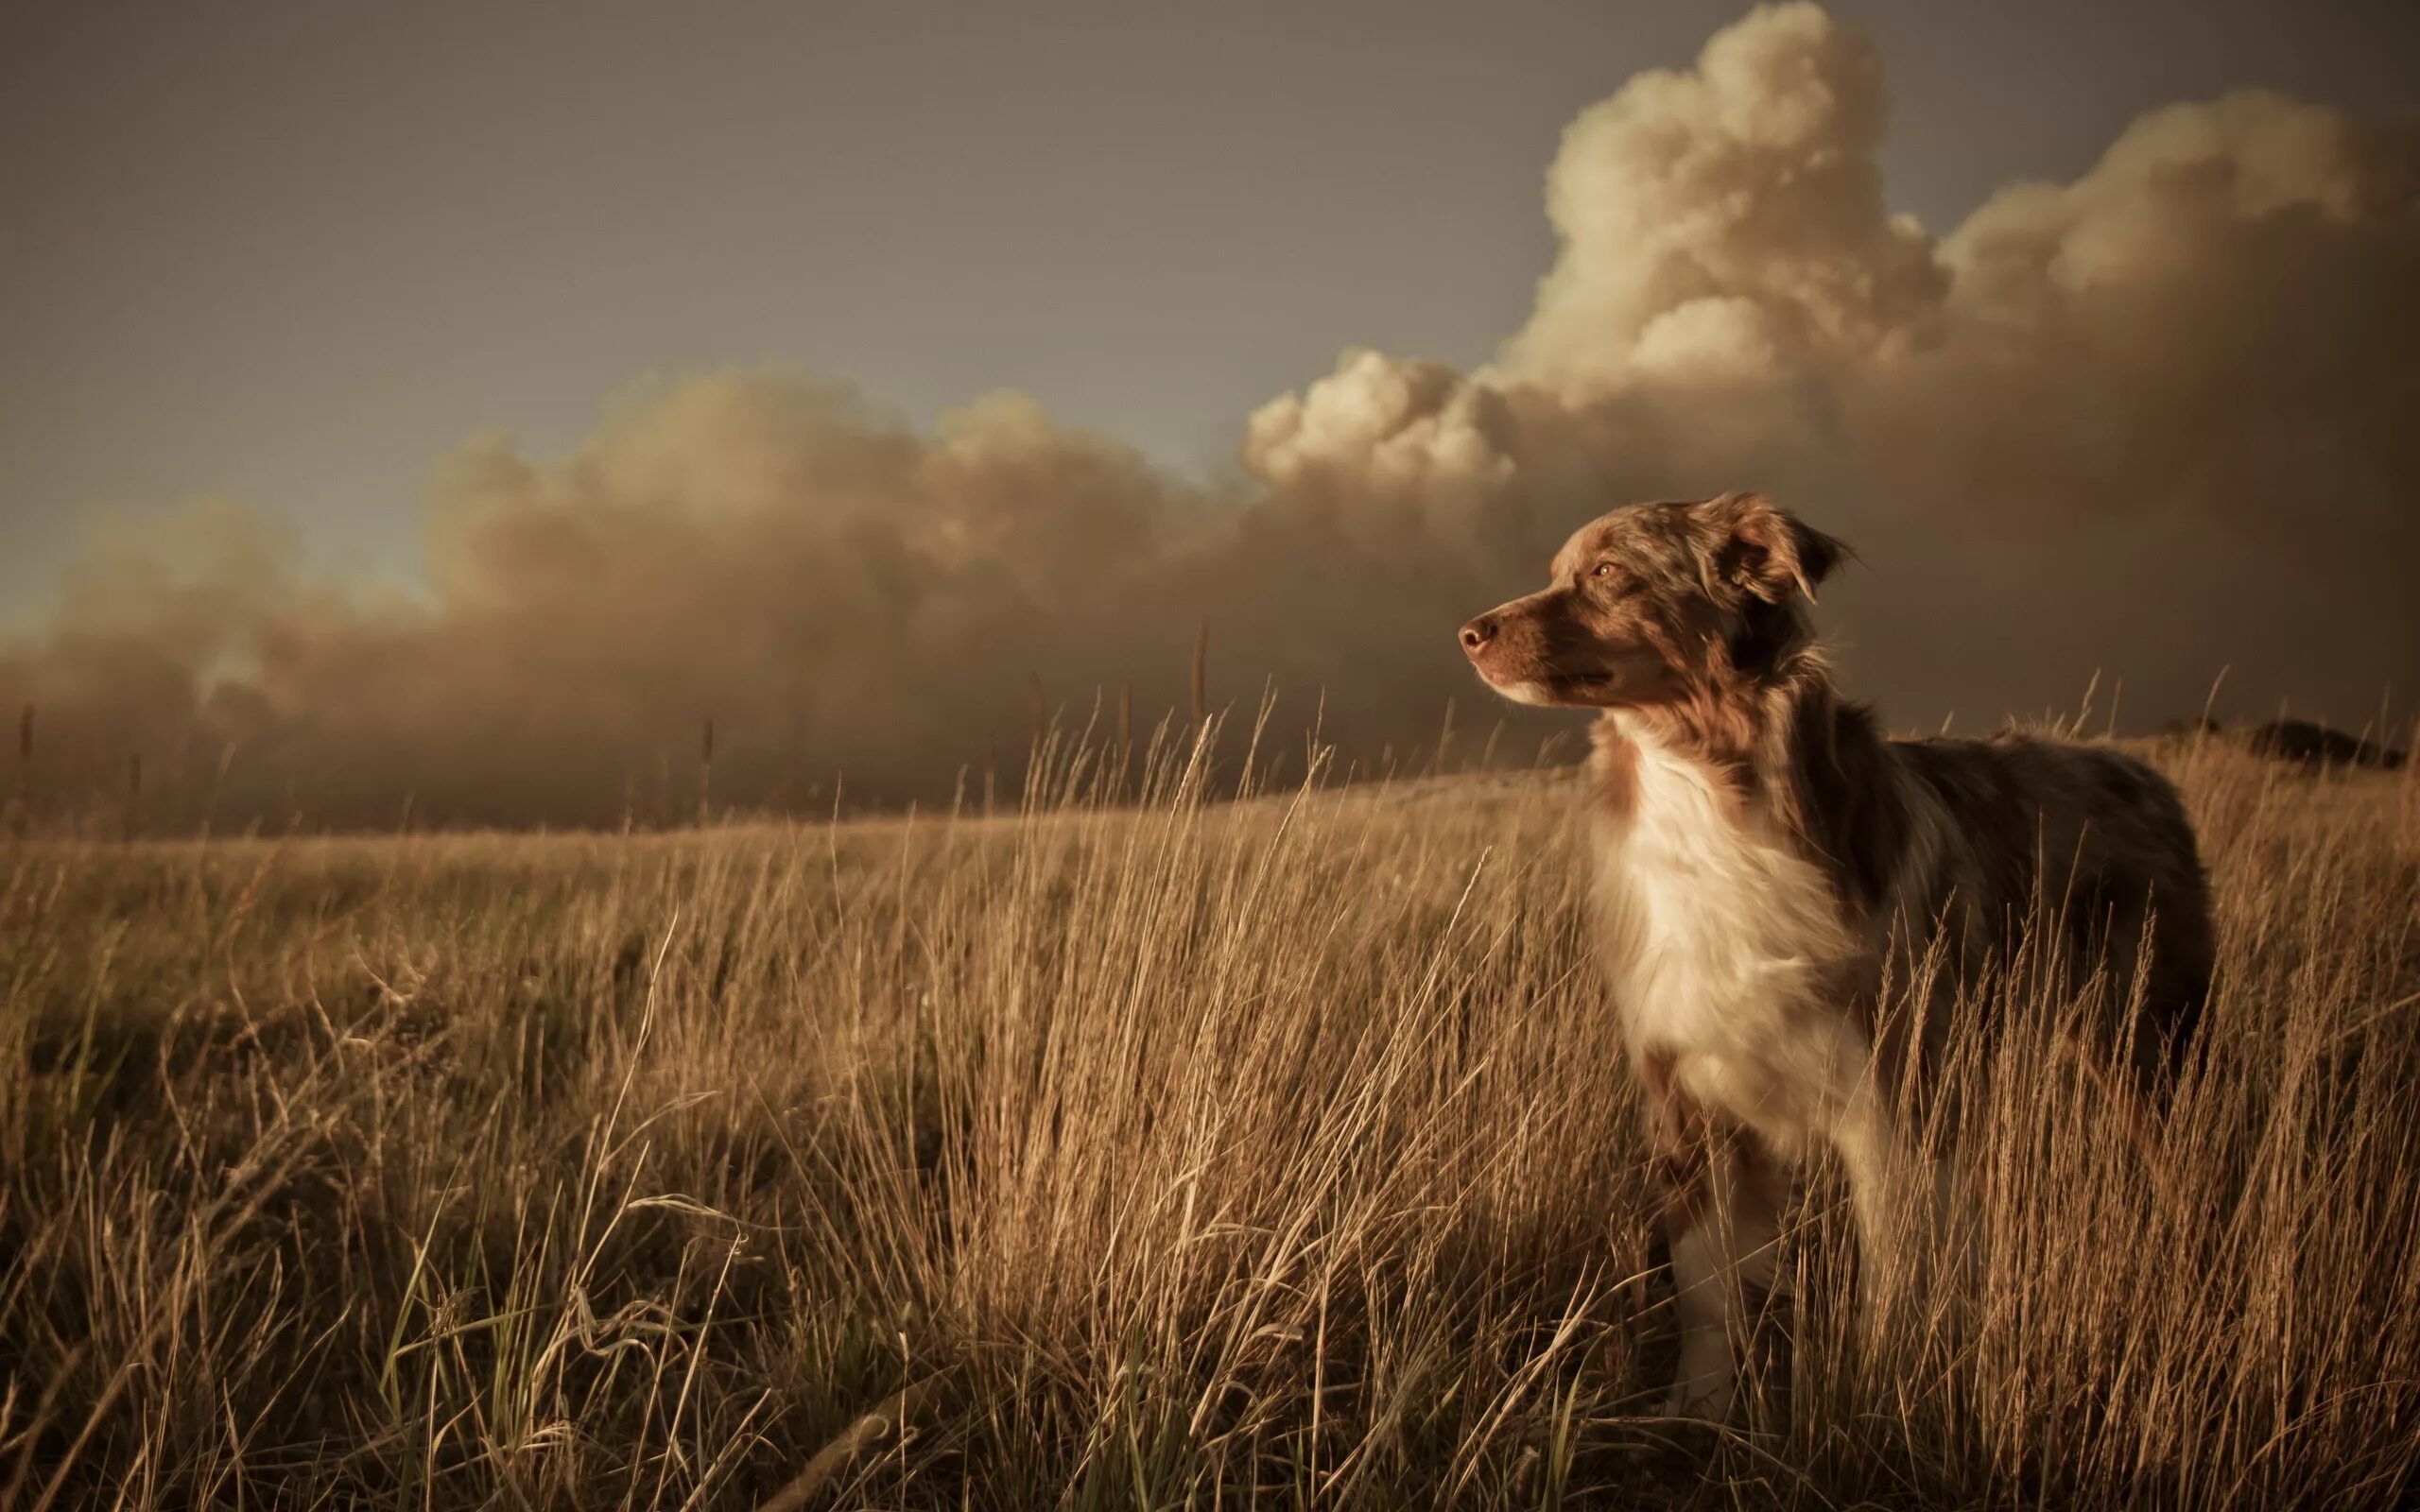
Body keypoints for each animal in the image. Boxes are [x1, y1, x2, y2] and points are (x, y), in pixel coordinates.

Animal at [1452, 493, 2216, 1413]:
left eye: (1607, 572)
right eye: (1560, 570)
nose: (1468, 633)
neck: (1705, 789)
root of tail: (2143, 773)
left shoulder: (1890, 1100)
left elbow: (1896, 1276)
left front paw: (1878, 1395)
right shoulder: (1687, 1101)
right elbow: (1708, 1292)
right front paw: (1694, 1411)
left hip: (2150, 1050)